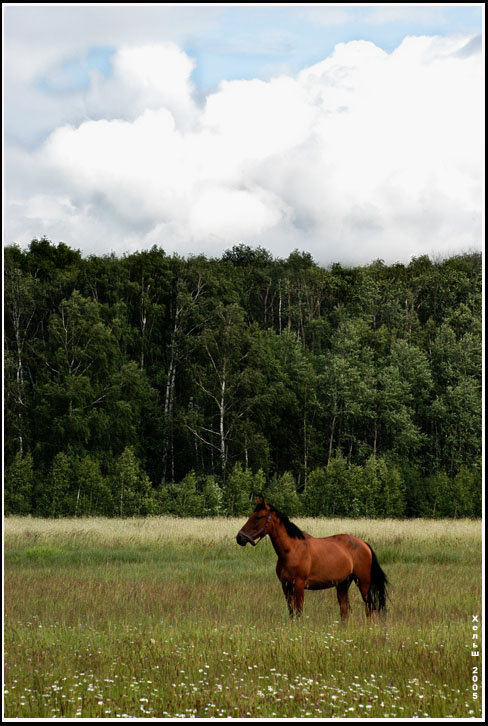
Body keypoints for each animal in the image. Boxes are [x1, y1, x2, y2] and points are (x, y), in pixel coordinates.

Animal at [236, 498, 388, 624]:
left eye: (258, 517)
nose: (240, 538)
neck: (292, 549)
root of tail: (364, 544)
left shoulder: (298, 585)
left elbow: (298, 611)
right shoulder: (286, 586)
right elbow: (291, 612)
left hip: (363, 583)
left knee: (369, 608)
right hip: (343, 584)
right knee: (345, 610)